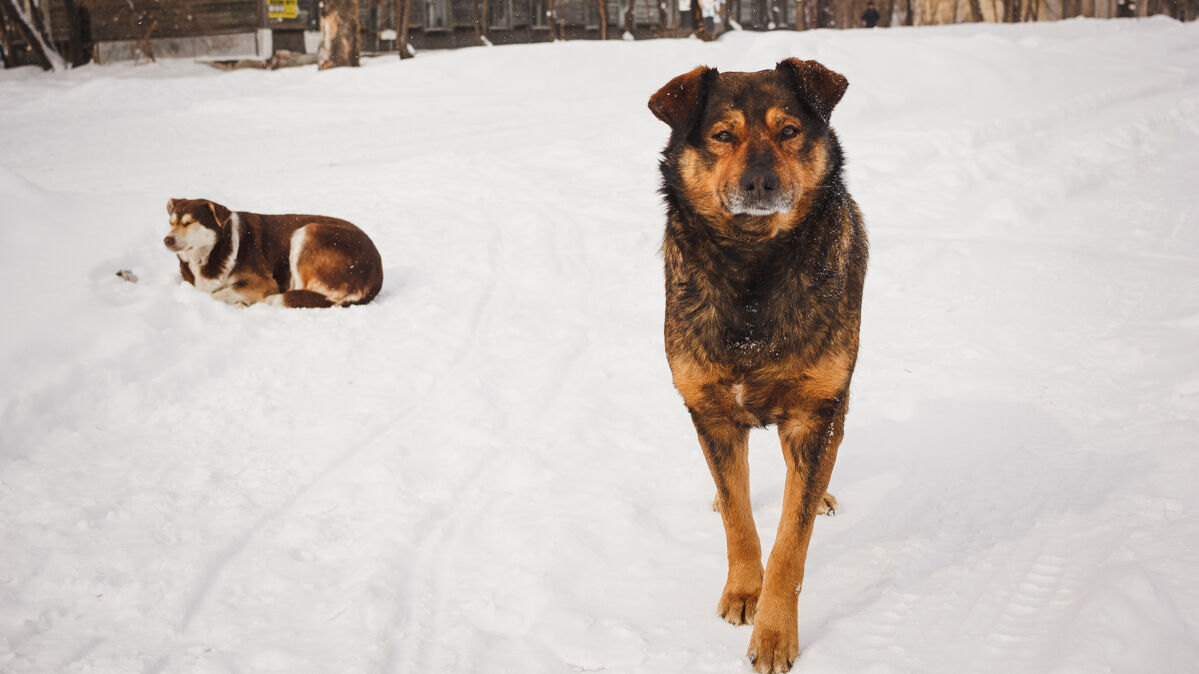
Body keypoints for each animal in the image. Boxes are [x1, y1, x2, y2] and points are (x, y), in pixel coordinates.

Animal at [161, 196, 381, 307]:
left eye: (189, 222)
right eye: (171, 222)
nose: (167, 240)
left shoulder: (264, 282)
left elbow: (216, 294)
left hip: (306, 232)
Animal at [652, 60, 868, 666]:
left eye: (788, 131)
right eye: (723, 135)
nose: (759, 184)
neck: (753, 265)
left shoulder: (815, 412)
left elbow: (791, 543)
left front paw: (774, 634)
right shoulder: (710, 411)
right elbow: (740, 518)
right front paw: (744, 591)